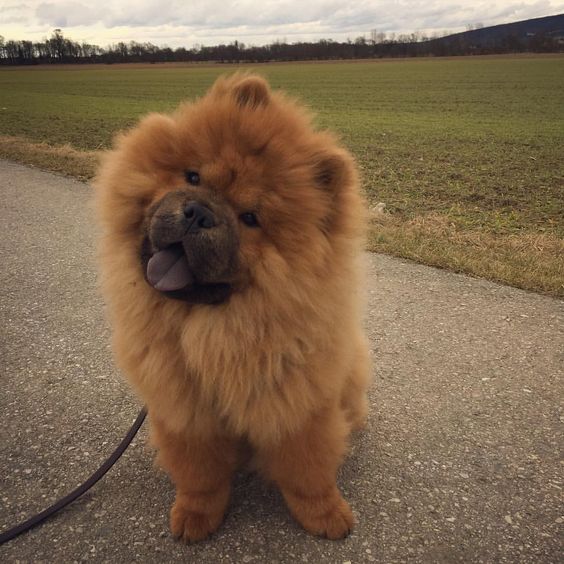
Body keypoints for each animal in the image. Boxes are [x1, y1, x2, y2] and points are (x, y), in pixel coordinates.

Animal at [94, 72, 370, 540]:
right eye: (192, 176)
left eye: (250, 218)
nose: (198, 213)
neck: (213, 331)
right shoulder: (184, 408)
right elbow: (200, 474)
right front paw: (195, 517)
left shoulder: (299, 405)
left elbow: (308, 468)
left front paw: (326, 515)